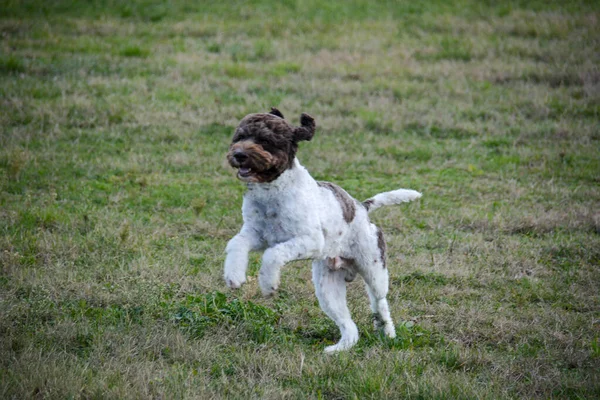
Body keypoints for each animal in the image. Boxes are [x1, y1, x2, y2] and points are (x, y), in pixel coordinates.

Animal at [224, 108, 422, 352]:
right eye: (240, 137)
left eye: (265, 140)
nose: (238, 155)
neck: (271, 193)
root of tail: (362, 208)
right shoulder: (256, 235)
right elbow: (236, 243)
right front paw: (233, 276)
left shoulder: (310, 241)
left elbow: (273, 254)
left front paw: (268, 283)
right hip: (327, 288)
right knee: (349, 325)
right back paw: (340, 349)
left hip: (374, 270)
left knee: (379, 301)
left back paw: (388, 333)